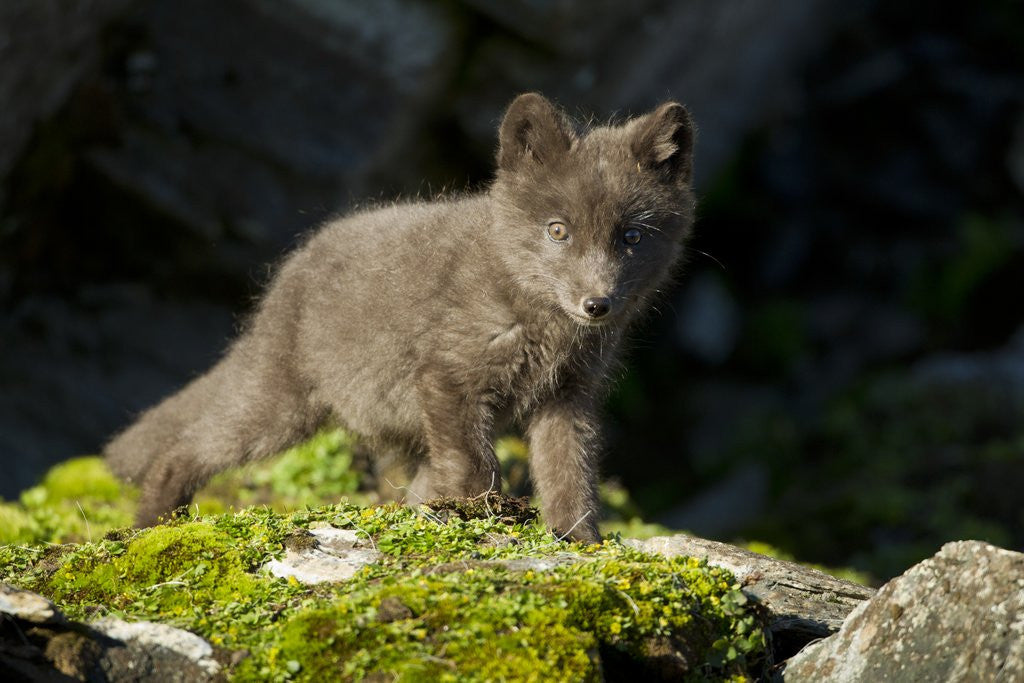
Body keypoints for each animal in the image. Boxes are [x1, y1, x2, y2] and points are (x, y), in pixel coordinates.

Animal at [104, 93, 696, 542]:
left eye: (631, 237)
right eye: (558, 230)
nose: (597, 304)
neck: (542, 323)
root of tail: (292, 268)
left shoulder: (568, 397)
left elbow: (571, 477)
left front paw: (579, 543)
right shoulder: (447, 379)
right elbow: (478, 470)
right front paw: (484, 522)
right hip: (281, 409)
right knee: (186, 447)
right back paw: (152, 525)